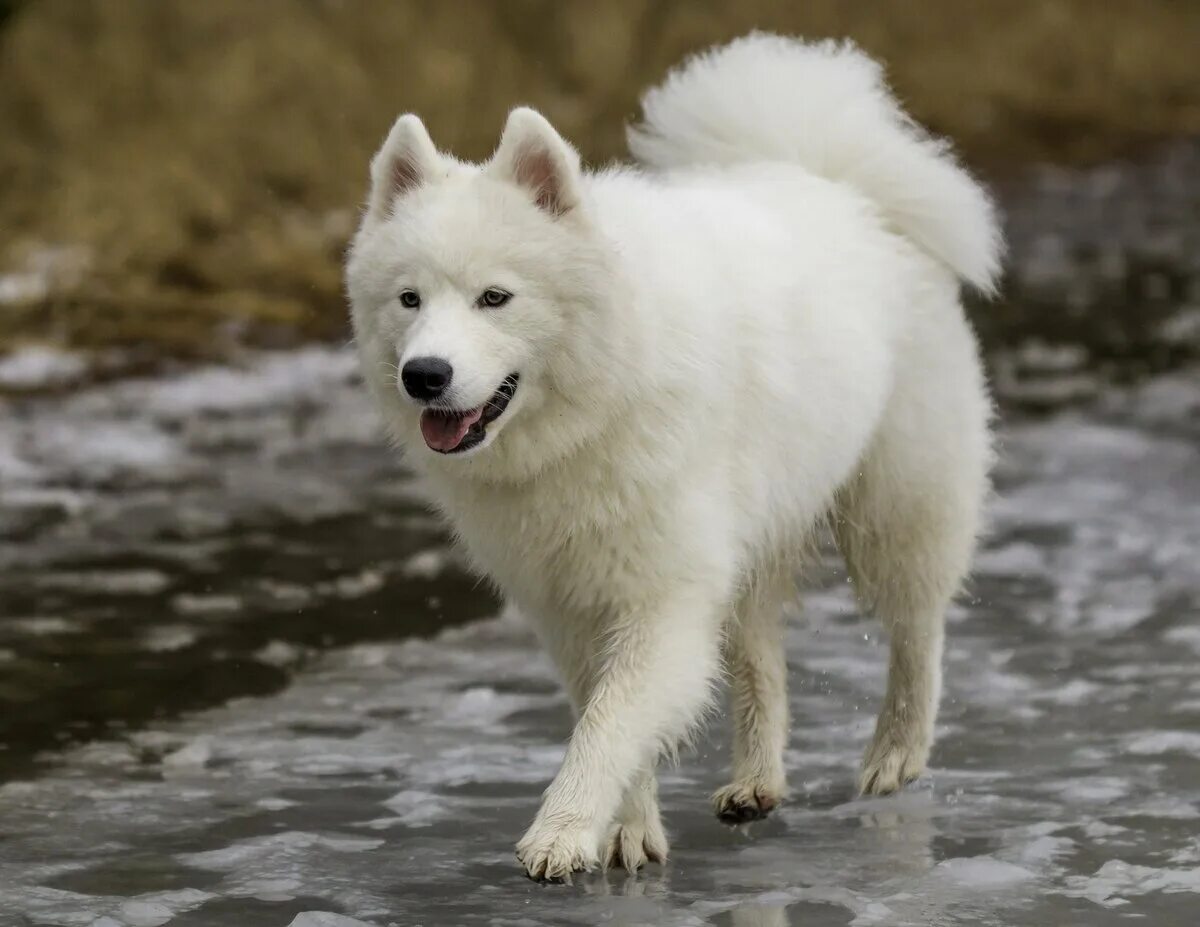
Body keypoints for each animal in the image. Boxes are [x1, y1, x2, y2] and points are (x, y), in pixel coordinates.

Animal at [348, 32, 1003, 878]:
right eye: (409, 299)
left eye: (496, 297)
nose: (424, 375)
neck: (596, 402)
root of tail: (827, 174)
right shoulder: (572, 600)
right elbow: (610, 713)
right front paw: (626, 830)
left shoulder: (659, 590)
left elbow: (610, 721)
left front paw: (562, 830)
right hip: (750, 535)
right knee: (763, 659)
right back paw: (757, 780)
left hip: (897, 497)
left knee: (917, 628)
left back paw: (897, 751)